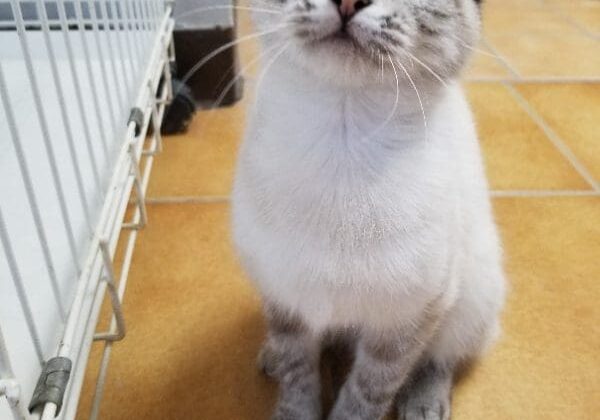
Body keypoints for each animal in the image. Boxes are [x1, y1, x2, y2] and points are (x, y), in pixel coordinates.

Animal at [232, 0, 504, 420]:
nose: (348, 3)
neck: (340, 144)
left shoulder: (408, 318)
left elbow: (367, 392)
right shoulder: (284, 299)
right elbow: (298, 377)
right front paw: (292, 403)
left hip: (473, 297)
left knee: (442, 357)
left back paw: (424, 402)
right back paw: (271, 358)